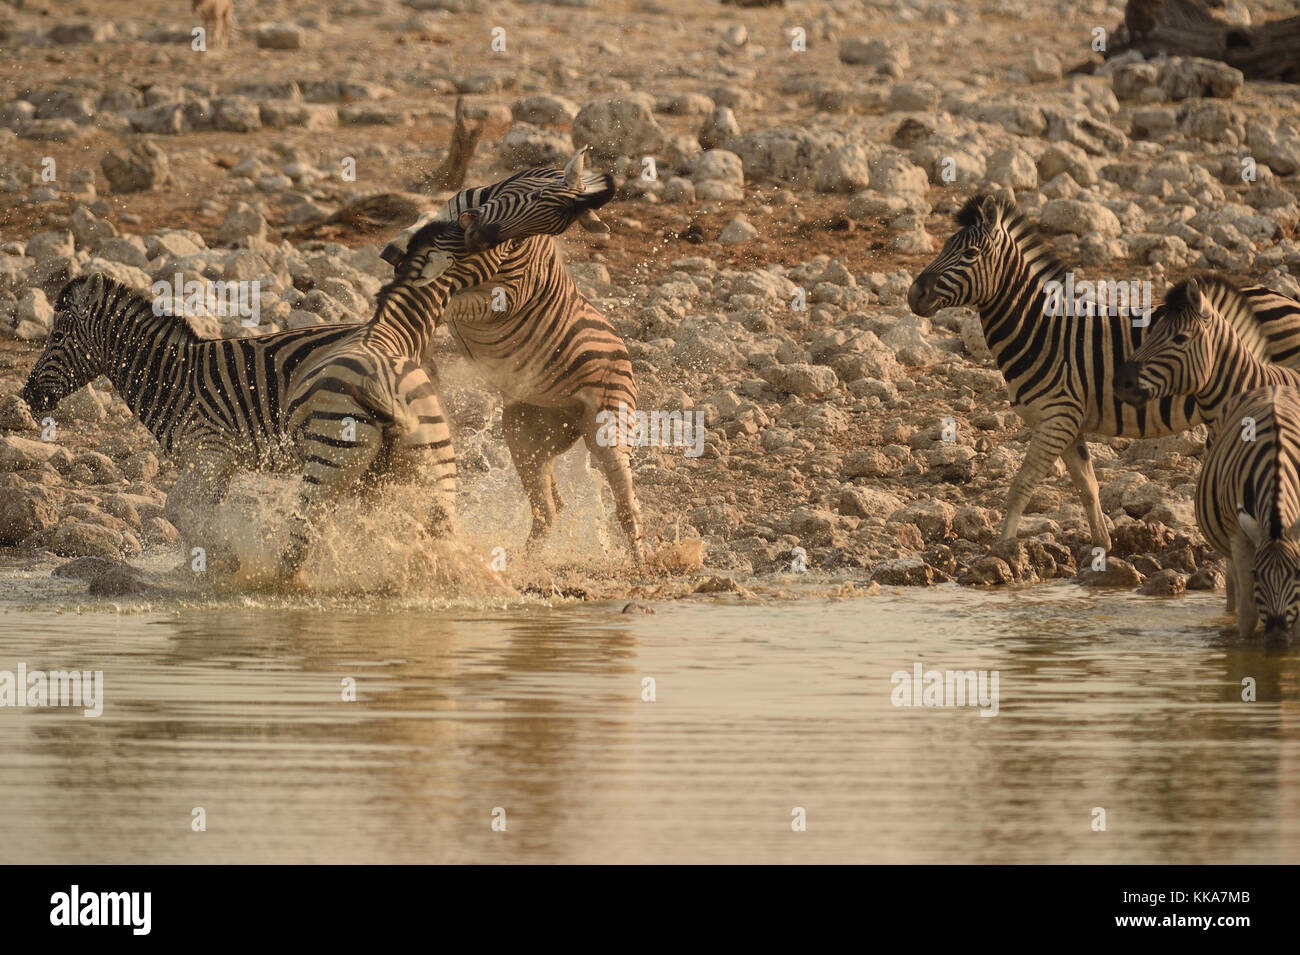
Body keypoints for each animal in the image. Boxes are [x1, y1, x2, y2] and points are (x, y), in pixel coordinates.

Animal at [379, 146, 647, 561]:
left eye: (547, 229)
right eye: (535, 198)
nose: (479, 238)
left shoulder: (503, 295)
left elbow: (447, 302)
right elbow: (421, 224)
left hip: (609, 427)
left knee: (626, 504)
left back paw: (641, 564)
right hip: (526, 432)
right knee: (550, 508)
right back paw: (523, 564)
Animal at [909, 192, 1300, 553]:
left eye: (970, 254)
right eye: (945, 246)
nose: (914, 294)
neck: (1039, 330)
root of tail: (1286, 298)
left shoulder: (1057, 417)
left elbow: (1022, 484)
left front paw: (1002, 550)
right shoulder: (1069, 424)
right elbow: (1088, 487)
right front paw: (1103, 549)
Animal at [1190, 384, 1300, 647]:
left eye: (1298, 573)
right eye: (1256, 573)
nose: (1277, 636)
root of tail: (1274, 387)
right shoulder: (1238, 536)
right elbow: (1248, 615)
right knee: (1234, 591)